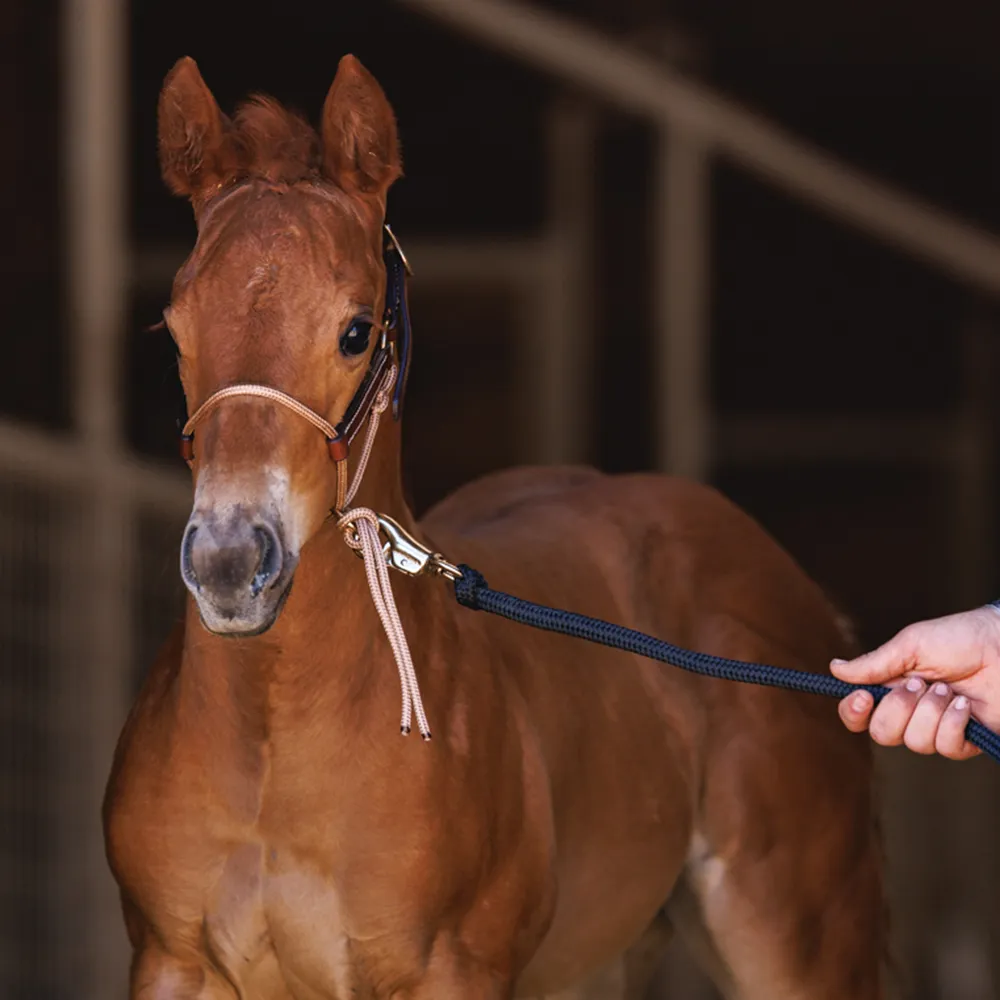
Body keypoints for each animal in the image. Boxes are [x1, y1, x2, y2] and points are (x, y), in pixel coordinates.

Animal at [105, 56, 888, 1000]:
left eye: (356, 331)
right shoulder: (170, 963)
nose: (229, 562)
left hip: (796, 937)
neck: (276, 749)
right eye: (174, 329)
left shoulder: (452, 969)